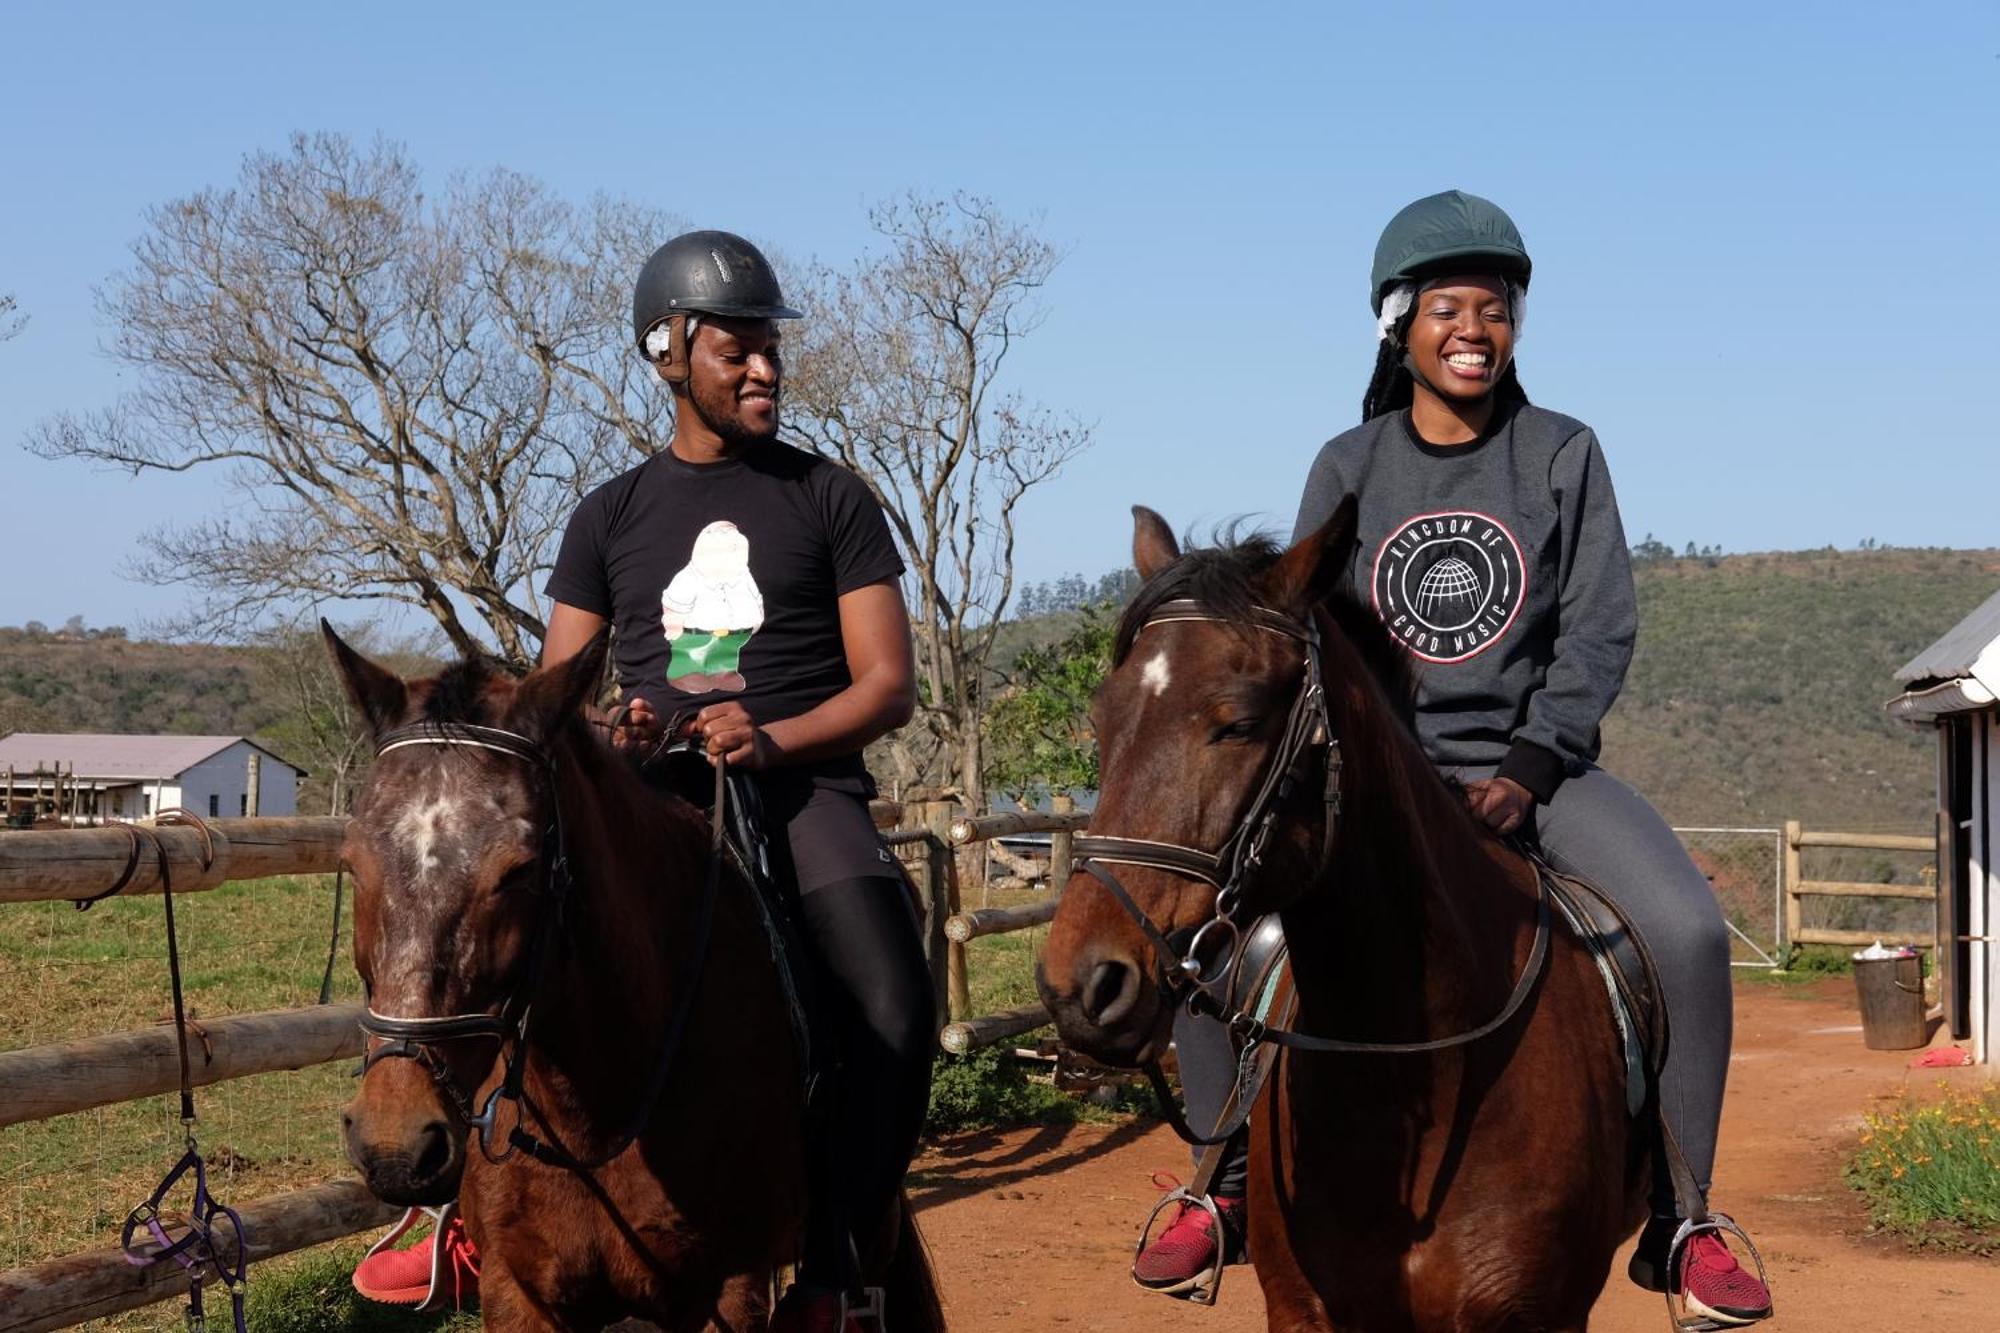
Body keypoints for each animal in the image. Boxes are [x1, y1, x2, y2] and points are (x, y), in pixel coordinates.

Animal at [328, 628, 944, 1320]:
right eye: (352, 862)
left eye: (520, 870)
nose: (396, 1144)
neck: (594, 1115)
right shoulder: (517, 1291)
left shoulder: (733, 1288)